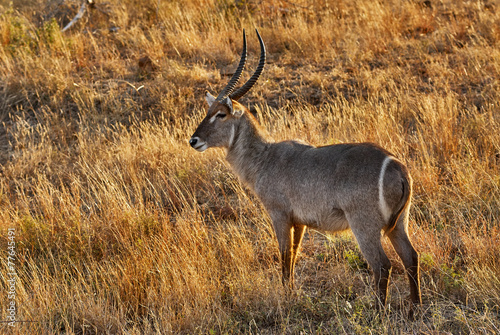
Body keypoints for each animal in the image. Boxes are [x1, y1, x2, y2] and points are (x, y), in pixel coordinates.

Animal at [188, 29, 422, 310]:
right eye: (208, 110)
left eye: (221, 114)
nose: (193, 140)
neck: (264, 157)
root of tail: (395, 165)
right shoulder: (299, 221)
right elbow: (294, 254)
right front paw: (290, 292)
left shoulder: (279, 214)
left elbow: (284, 254)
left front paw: (285, 296)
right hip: (399, 223)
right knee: (411, 257)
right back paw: (414, 309)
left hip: (364, 225)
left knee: (382, 265)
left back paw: (378, 311)